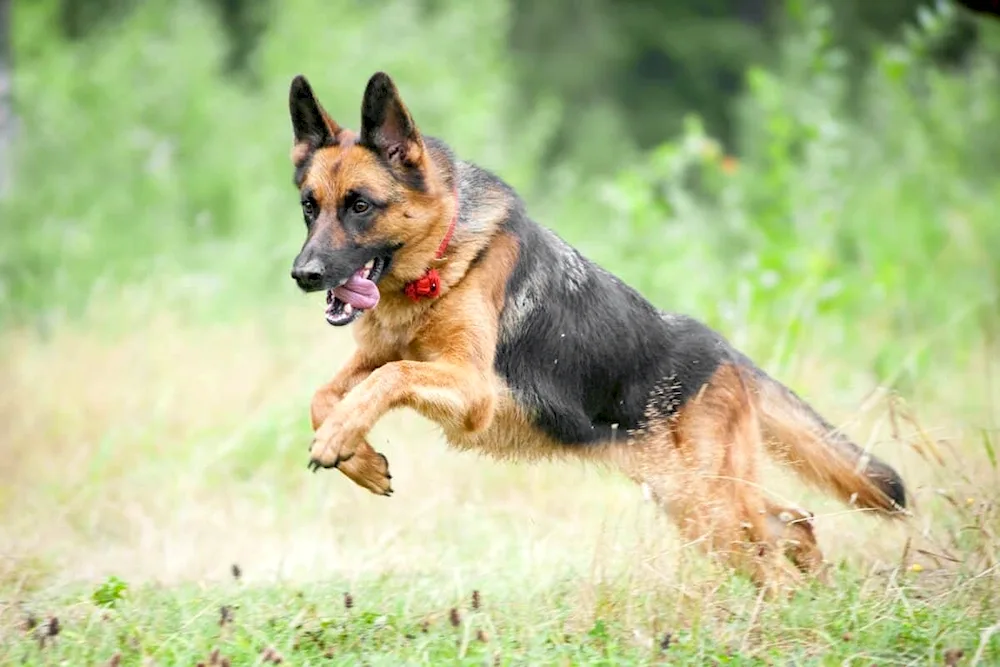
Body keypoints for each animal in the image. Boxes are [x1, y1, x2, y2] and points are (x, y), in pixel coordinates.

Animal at [284, 69, 908, 588]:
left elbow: (390, 378)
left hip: (709, 506)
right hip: (691, 499)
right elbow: (327, 393)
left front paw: (339, 440)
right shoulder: (376, 360)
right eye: (310, 207)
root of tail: (724, 352)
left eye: (361, 206)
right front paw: (358, 459)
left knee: (776, 559)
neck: (441, 259)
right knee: (795, 524)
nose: (304, 275)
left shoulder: (470, 389)